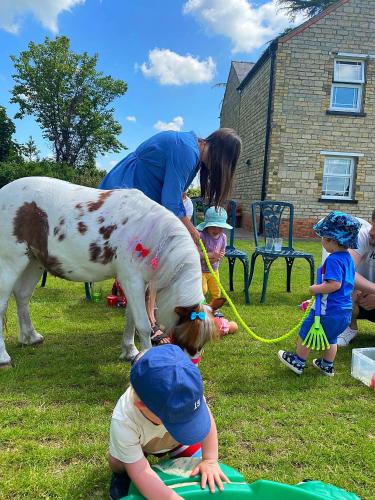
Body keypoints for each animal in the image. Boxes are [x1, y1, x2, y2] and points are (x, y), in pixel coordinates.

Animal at [0, 177, 217, 368]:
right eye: (189, 336)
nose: (192, 366)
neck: (150, 231)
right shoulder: (132, 280)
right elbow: (143, 324)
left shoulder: (137, 283)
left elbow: (131, 318)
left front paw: (130, 351)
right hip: (10, 264)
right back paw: (4, 358)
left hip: (33, 262)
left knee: (22, 296)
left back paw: (30, 337)